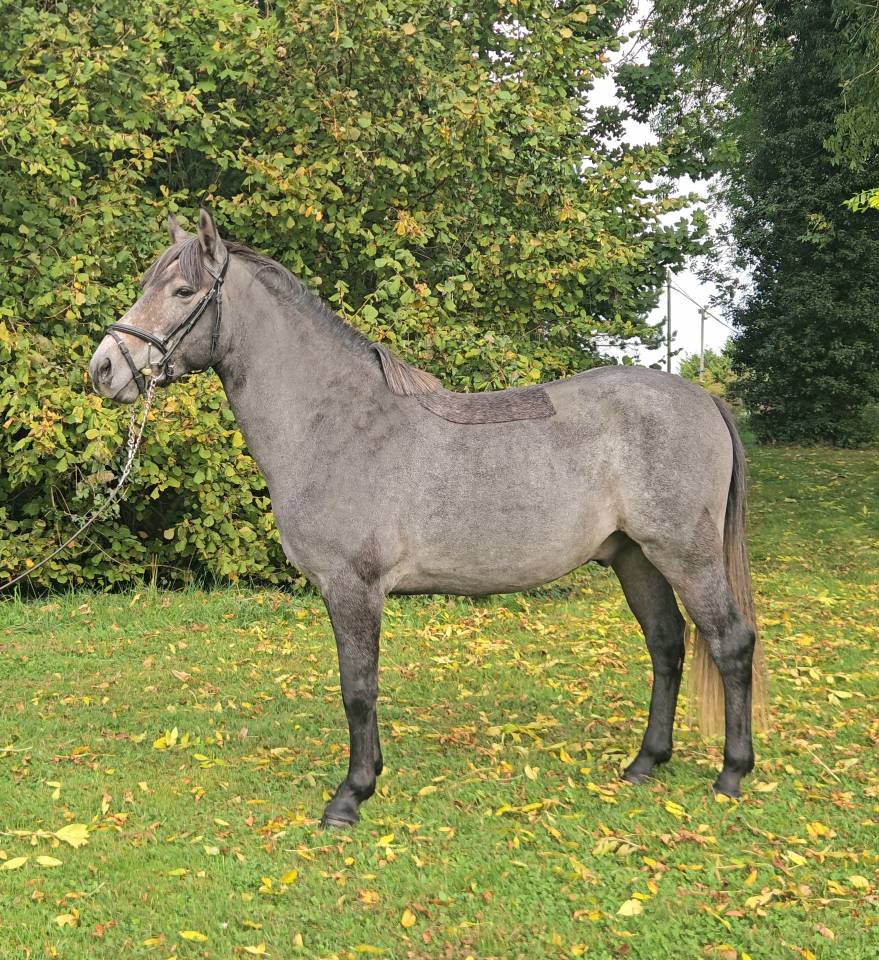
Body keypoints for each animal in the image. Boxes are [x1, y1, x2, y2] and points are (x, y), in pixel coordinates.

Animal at [89, 210, 768, 828]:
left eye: (183, 291)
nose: (104, 368)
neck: (333, 422)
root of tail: (704, 397)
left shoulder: (353, 588)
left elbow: (358, 689)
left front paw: (351, 796)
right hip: (635, 557)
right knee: (667, 645)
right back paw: (645, 763)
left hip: (685, 555)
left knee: (730, 643)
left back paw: (732, 774)